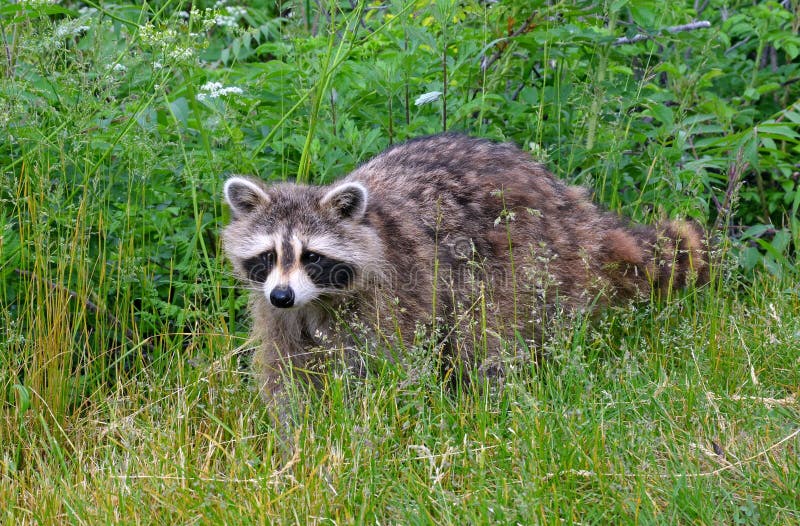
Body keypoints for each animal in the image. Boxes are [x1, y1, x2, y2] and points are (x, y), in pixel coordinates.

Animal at [222, 134, 708, 410]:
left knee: (488, 336)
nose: (282, 295)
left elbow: (387, 366)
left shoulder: (395, 294)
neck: (317, 301)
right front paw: (299, 436)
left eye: (312, 257)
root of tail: (566, 200)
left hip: (521, 261)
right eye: (269, 255)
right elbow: (286, 372)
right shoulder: (278, 314)